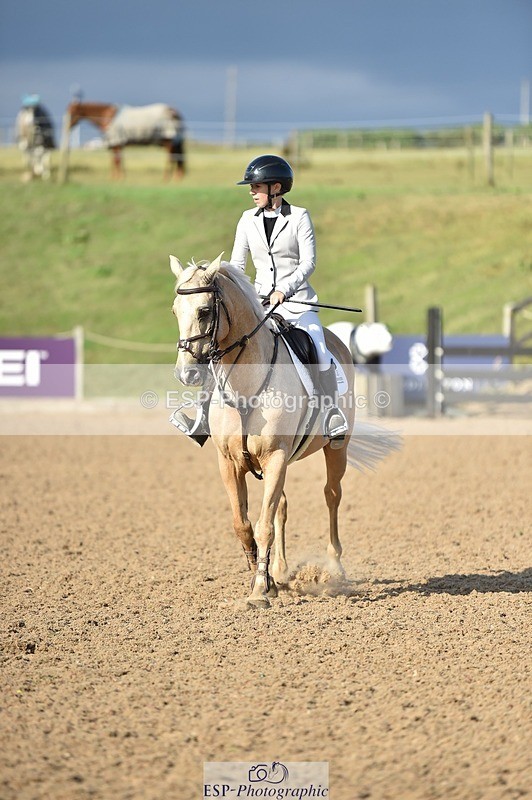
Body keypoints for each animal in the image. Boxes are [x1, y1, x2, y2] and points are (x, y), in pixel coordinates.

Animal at [170, 253, 399, 609]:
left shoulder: (276, 457)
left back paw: (334, 568)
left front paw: (259, 592)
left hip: (336, 449)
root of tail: (338, 340)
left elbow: (262, 526)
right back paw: (278, 571)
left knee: (331, 496)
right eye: (175, 311)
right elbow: (243, 524)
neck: (245, 386)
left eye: (204, 311)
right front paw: (261, 576)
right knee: (281, 507)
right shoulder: (229, 463)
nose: (187, 374)